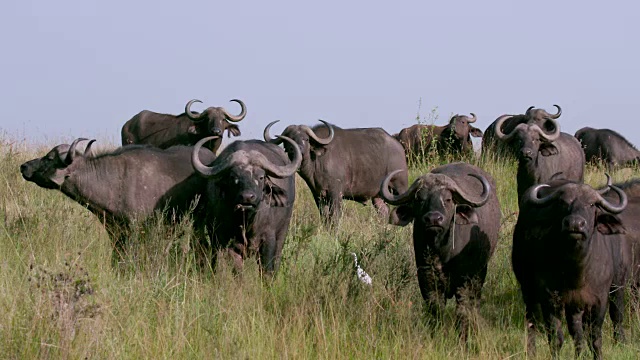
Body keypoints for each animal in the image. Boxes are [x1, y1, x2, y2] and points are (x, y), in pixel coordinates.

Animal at [191, 134, 302, 274]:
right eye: (233, 177)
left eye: (261, 177)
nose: (247, 197)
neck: (246, 223)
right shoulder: (227, 242)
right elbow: (237, 270)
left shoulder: (269, 239)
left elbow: (267, 269)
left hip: (283, 231)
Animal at [264, 121, 404, 228]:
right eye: (289, 140)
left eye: (306, 139)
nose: (297, 150)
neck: (318, 162)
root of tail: (398, 145)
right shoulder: (318, 195)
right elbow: (325, 217)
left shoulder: (336, 193)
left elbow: (335, 216)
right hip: (378, 196)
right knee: (383, 212)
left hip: (400, 187)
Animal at [380, 163, 500, 340]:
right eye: (419, 199)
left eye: (448, 199)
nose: (433, 219)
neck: (443, 251)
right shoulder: (426, 277)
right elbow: (435, 307)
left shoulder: (465, 278)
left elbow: (462, 309)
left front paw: (463, 336)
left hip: (480, 271)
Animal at [512, 179, 632, 358]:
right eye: (563, 202)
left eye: (591, 204)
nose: (575, 224)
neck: (576, 271)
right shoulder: (550, 300)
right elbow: (556, 338)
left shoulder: (599, 300)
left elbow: (594, 337)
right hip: (529, 290)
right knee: (532, 321)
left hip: (609, 289)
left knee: (597, 323)